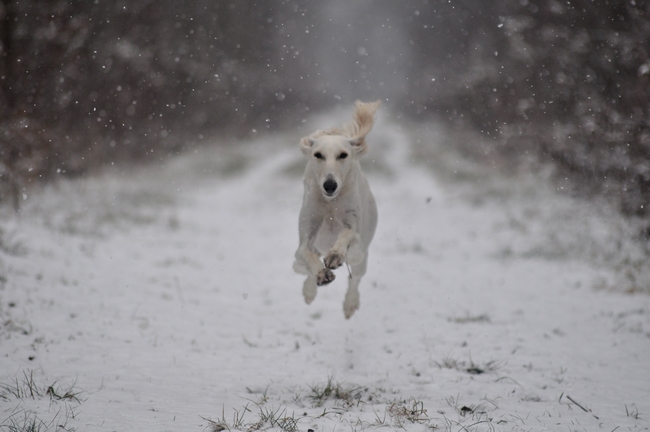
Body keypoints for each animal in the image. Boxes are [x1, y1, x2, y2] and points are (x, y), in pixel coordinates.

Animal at [290, 99, 378, 318]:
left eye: (343, 155)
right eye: (318, 155)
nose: (330, 185)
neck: (330, 203)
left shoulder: (355, 235)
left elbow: (347, 233)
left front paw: (336, 254)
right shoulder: (306, 236)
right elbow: (305, 254)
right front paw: (321, 274)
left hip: (360, 256)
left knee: (355, 278)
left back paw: (350, 303)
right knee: (303, 267)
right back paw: (310, 289)